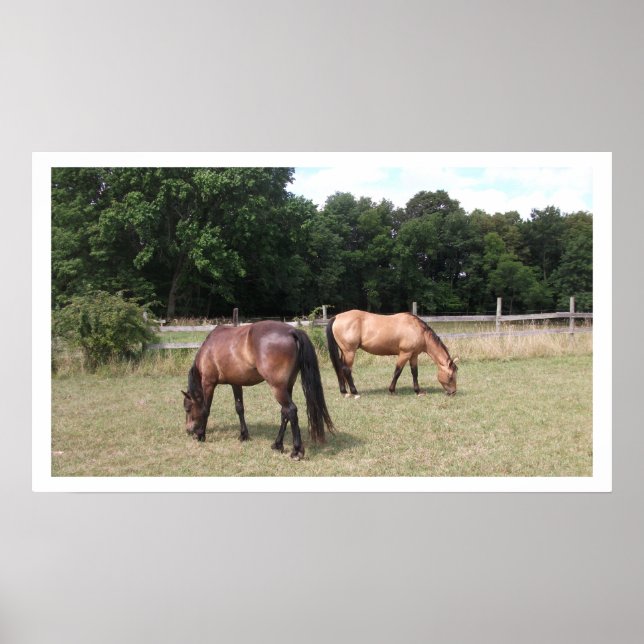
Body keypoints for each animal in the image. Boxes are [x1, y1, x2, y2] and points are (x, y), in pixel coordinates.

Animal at [182, 321, 334, 460]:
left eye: (187, 409)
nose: (188, 430)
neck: (208, 349)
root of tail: (292, 331)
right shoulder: (235, 383)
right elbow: (239, 408)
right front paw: (244, 435)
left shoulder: (208, 383)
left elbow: (205, 410)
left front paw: (200, 435)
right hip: (287, 386)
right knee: (285, 412)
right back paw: (277, 445)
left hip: (277, 387)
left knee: (291, 410)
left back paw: (296, 451)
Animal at [326, 310, 458, 398]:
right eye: (451, 376)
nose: (453, 392)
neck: (417, 330)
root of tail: (336, 317)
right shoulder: (405, 353)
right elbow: (397, 372)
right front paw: (392, 390)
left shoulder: (414, 355)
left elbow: (415, 373)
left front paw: (418, 391)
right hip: (349, 352)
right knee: (347, 370)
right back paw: (355, 392)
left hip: (344, 352)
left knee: (340, 368)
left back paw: (344, 391)